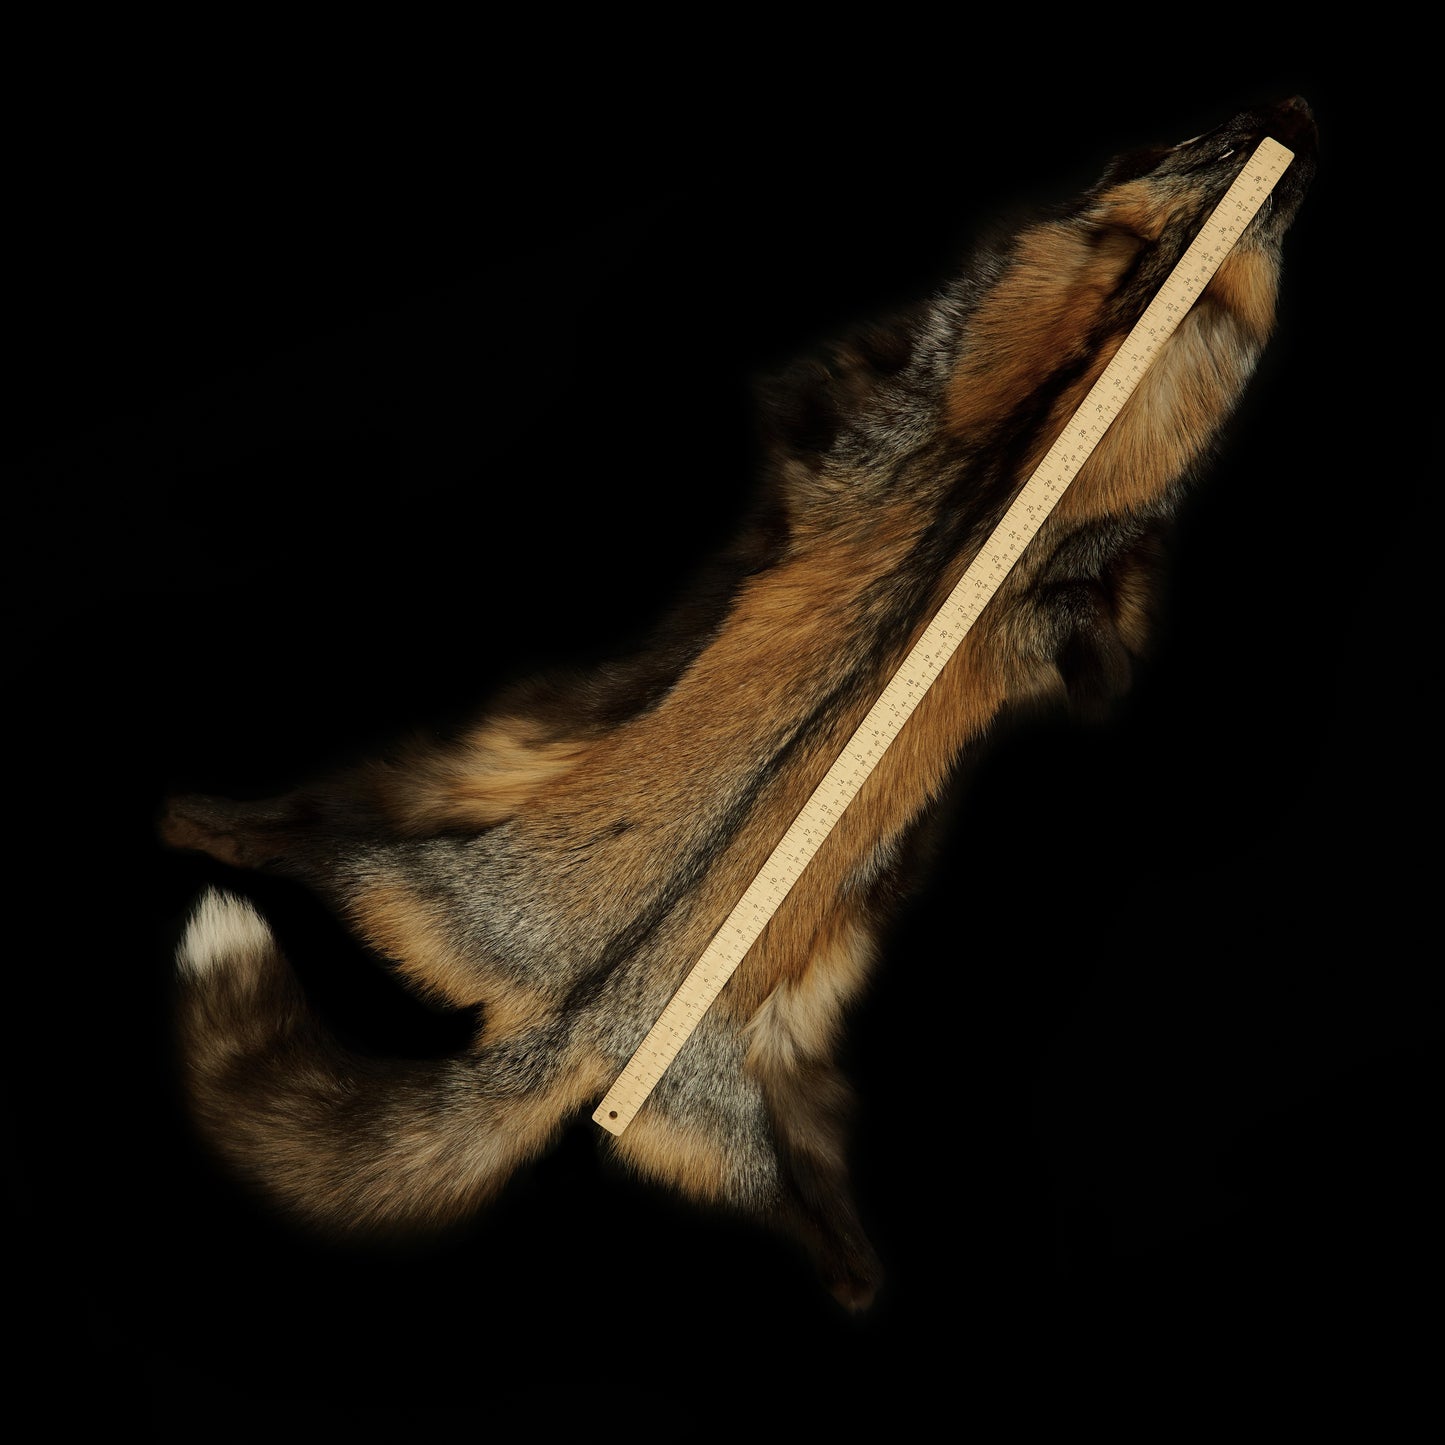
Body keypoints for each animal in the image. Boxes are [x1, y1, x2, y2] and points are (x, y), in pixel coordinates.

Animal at [162, 96, 1316, 1311]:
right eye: (1220, 158)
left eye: (1252, 185)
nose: (1293, 112)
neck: (1024, 448)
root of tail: (569, 1032)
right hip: (468, 840)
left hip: (457, 866)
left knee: (291, 840)